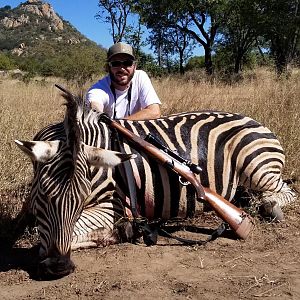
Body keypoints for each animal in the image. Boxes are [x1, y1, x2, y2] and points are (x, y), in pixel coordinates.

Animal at [14, 88, 296, 278]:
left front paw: (122, 232)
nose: (58, 267)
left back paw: (269, 208)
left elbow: (62, 235)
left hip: (257, 167)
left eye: (82, 197)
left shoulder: (112, 206)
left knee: (284, 192)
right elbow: (27, 224)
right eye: (44, 194)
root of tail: (255, 121)